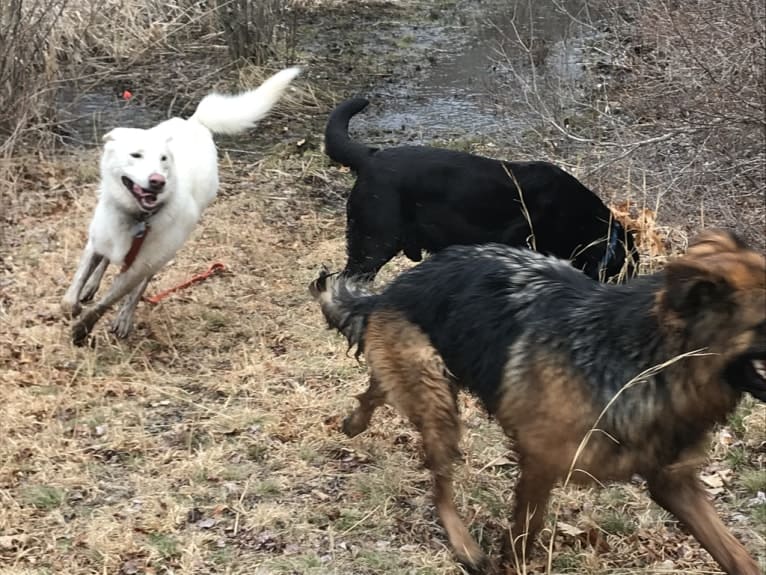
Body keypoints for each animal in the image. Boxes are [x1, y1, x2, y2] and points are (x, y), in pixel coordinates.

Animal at [61, 67, 302, 346]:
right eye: (136, 155)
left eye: (164, 159)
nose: (158, 181)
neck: (137, 217)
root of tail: (195, 122)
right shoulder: (96, 242)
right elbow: (74, 289)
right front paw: (76, 304)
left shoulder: (139, 266)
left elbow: (109, 300)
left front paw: (83, 328)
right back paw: (92, 287)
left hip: (163, 254)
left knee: (138, 288)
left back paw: (124, 317)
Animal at [310, 231, 766, 575]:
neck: (645, 363)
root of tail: (392, 288)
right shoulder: (540, 466)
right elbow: (523, 540)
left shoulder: (674, 483)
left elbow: (738, 557)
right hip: (438, 401)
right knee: (440, 484)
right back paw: (463, 545)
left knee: (378, 387)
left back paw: (353, 422)